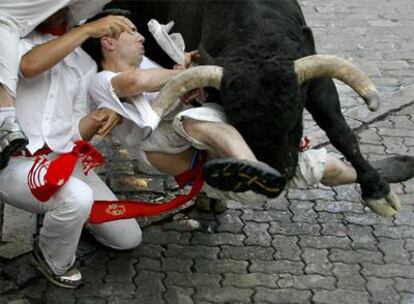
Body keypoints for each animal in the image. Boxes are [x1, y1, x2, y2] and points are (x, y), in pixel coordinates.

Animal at [108, 0, 400, 214]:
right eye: (239, 124)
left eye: (295, 119)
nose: (277, 174)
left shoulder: (317, 82)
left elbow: (341, 131)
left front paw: (378, 191)